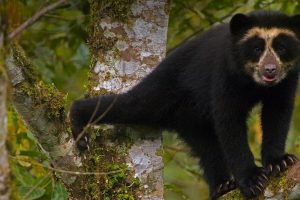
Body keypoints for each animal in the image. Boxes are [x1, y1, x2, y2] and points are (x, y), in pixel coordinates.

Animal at [69, 10, 300, 198]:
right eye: (257, 49)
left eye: (281, 48)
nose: (270, 70)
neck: (254, 82)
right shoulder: (224, 74)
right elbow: (229, 122)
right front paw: (252, 181)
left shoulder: (287, 80)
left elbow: (278, 114)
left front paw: (281, 162)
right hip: (165, 89)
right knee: (132, 105)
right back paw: (78, 121)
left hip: (191, 120)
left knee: (208, 148)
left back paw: (222, 186)